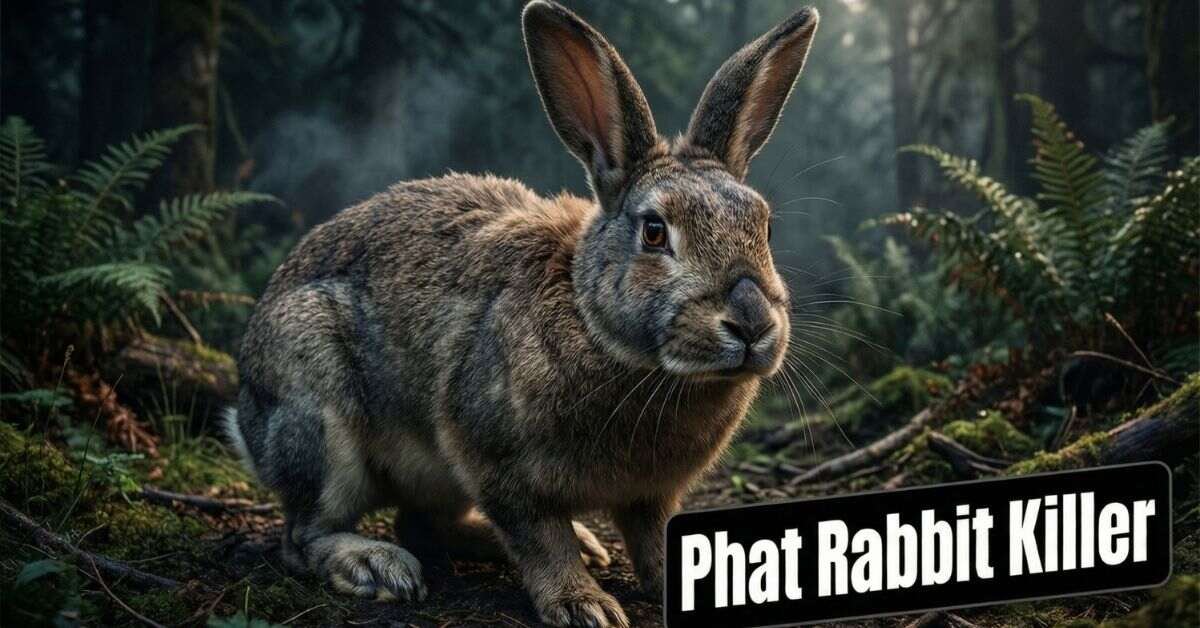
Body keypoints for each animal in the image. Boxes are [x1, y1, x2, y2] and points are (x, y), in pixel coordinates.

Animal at [224, 1, 818, 626]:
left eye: (765, 228)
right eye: (655, 232)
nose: (752, 324)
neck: (593, 322)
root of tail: (247, 417)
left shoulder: (651, 494)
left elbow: (651, 536)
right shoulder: (496, 462)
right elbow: (540, 539)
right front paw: (584, 605)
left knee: (424, 523)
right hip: (318, 415)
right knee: (305, 535)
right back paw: (376, 566)